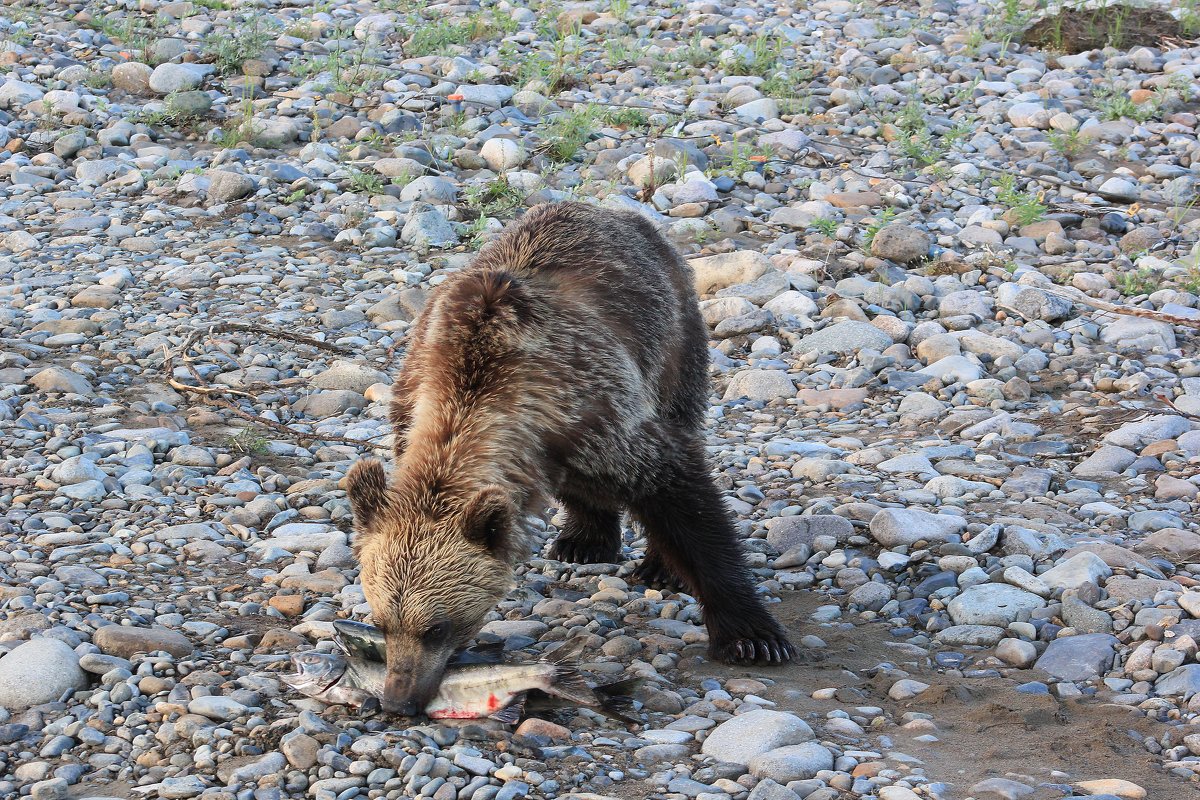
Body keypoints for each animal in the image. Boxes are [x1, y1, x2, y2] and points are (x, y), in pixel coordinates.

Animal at [348, 200, 796, 714]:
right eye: (382, 622)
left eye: (437, 626)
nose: (397, 700)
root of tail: (612, 212)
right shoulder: (413, 397)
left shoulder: (597, 407)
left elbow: (683, 497)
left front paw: (751, 636)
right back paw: (583, 540)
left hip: (674, 339)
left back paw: (655, 564)